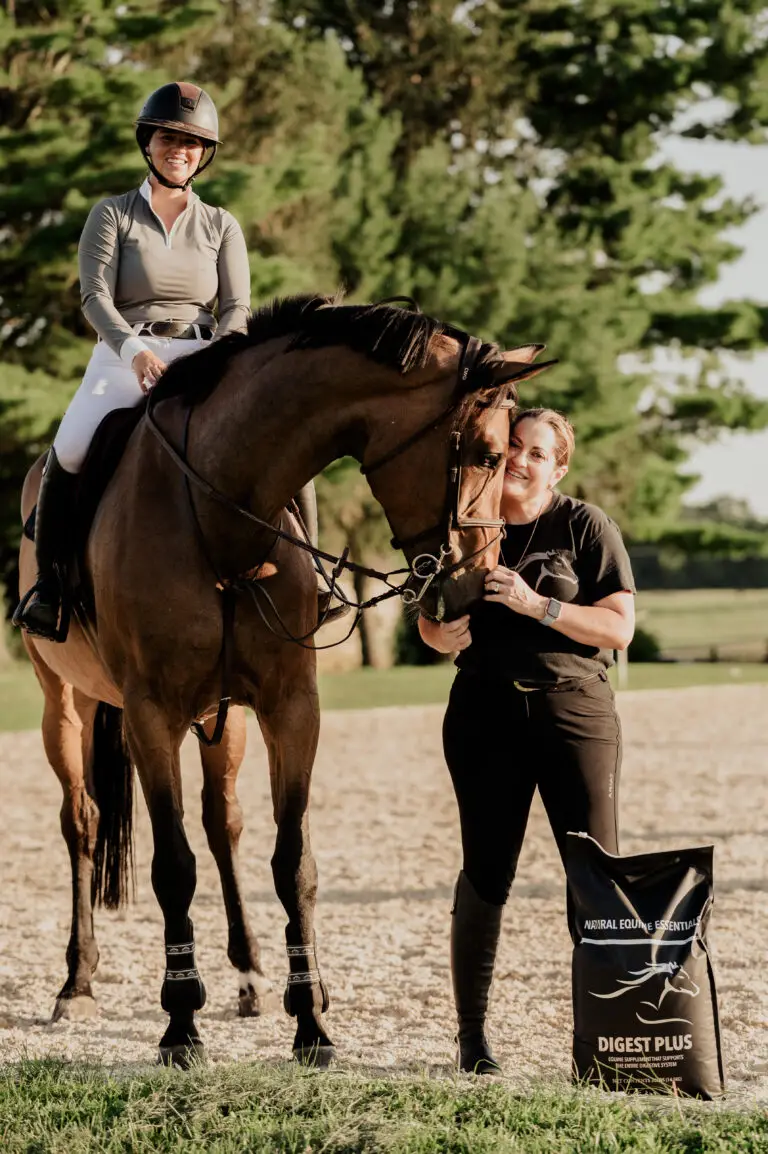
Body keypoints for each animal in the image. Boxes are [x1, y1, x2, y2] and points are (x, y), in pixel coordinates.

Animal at [17, 295, 553, 1065]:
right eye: (486, 454)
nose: (475, 590)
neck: (221, 519)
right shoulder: (151, 713)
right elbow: (172, 866)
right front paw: (180, 1028)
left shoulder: (290, 708)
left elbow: (292, 860)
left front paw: (312, 1025)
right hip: (66, 702)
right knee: (83, 822)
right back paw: (77, 984)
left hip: (223, 719)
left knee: (223, 824)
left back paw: (248, 976)